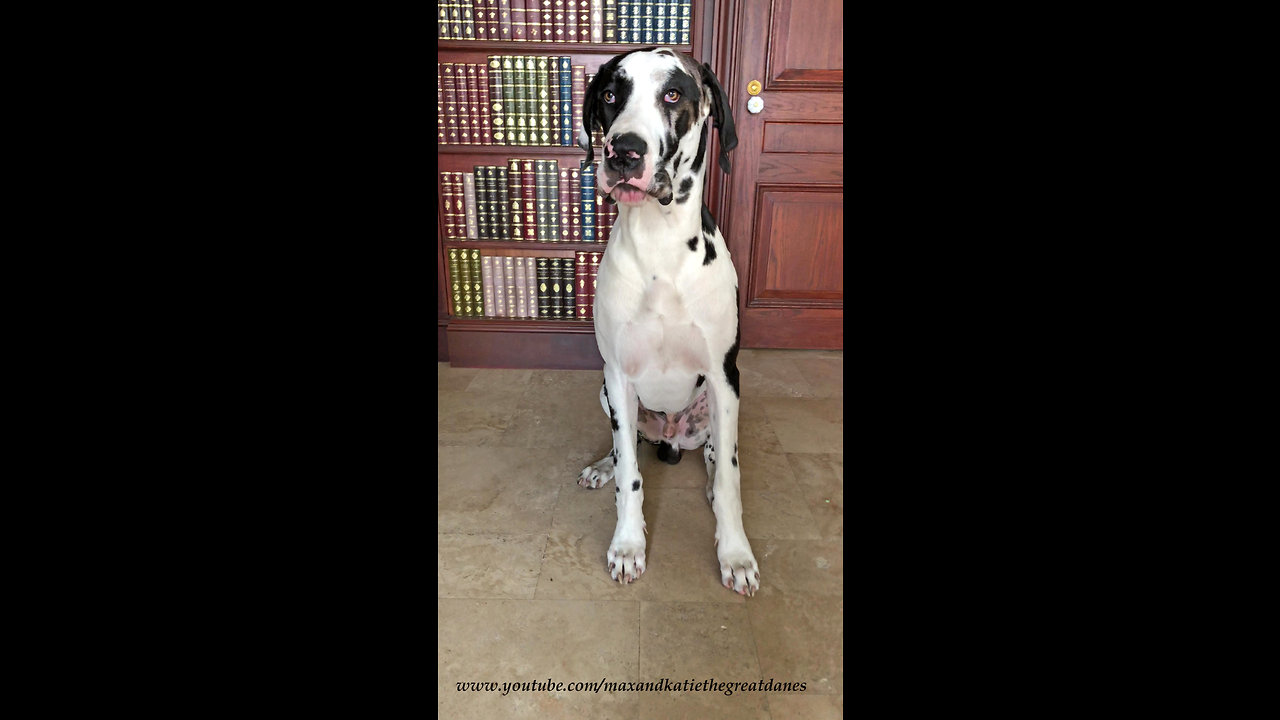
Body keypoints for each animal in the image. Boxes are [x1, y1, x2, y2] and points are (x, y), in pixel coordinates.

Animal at [573, 46, 757, 594]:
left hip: (721, 402)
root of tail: (672, 439)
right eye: (611, 95)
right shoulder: (617, 374)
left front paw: (735, 554)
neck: (659, 247)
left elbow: (731, 478)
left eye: (673, 94)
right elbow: (630, 474)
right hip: (608, 394)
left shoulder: (723, 373)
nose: (623, 152)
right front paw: (628, 544)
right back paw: (603, 466)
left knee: (718, 455)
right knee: (628, 443)